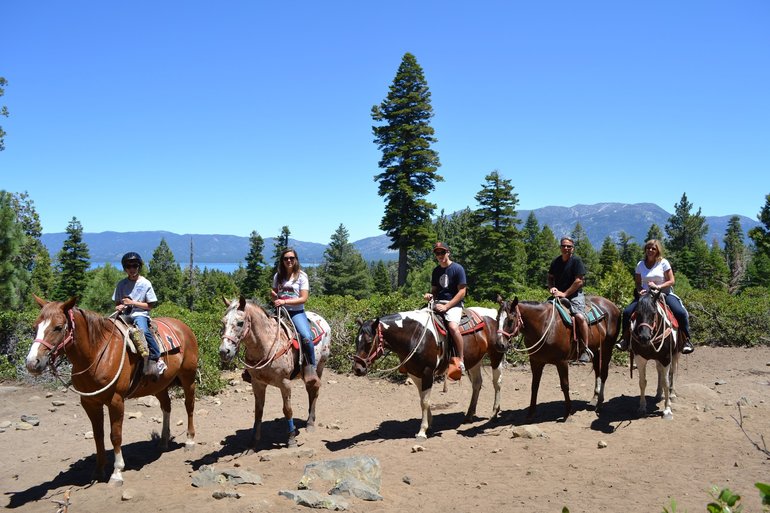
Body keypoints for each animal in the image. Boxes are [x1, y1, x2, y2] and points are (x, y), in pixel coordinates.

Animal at [24, 296, 198, 484]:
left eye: (57, 327)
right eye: (35, 327)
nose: (32, 363)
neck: (98, 353)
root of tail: (183, 326)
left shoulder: (116, 400)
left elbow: (115, 435)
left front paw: (117, 472)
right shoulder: (89, 402)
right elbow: (98, 435)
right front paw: (99, 470)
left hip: (188, 378)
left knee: (189, 406)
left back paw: (190, 441)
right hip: (159, 384)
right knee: (166, 406)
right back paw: (164, 442)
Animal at [219, 296, 332, 448]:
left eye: (240, 323)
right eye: (223, 322)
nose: (224, 351)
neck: (267, 345)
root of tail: (321, 319)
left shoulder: (285, 383)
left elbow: (287, 410)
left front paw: (291, 439)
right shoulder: (257, 383)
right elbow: (258, 411)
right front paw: (253, 443)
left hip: (320, 366)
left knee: (314, 391)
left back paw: (310, 423)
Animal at [352, 306, 504, 438]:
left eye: (369, 341)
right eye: (356, 341)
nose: (357, 368)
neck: (414, 334)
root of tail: (492, 312)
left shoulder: (427, 372)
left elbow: (424, 401)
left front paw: (422, 431)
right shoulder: (414, 373)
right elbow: (423, 399)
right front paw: (429, 425)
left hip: (496, 355)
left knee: (497, 383)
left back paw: (494, 414)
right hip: (475, 360)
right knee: (477, 384)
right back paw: (469, 416)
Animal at [628, 288, 680, 420]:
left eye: (653, 313)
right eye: (637, 313)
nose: (644, 338)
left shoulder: (666, 358)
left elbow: (666, 382)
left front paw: (667, 410)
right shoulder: (639, 358)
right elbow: (642, 382)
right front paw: (642, 408)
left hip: (675, 354)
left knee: (672, 372)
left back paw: (672, 395)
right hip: (658, 358)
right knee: (659, 372)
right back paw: (658, 394)